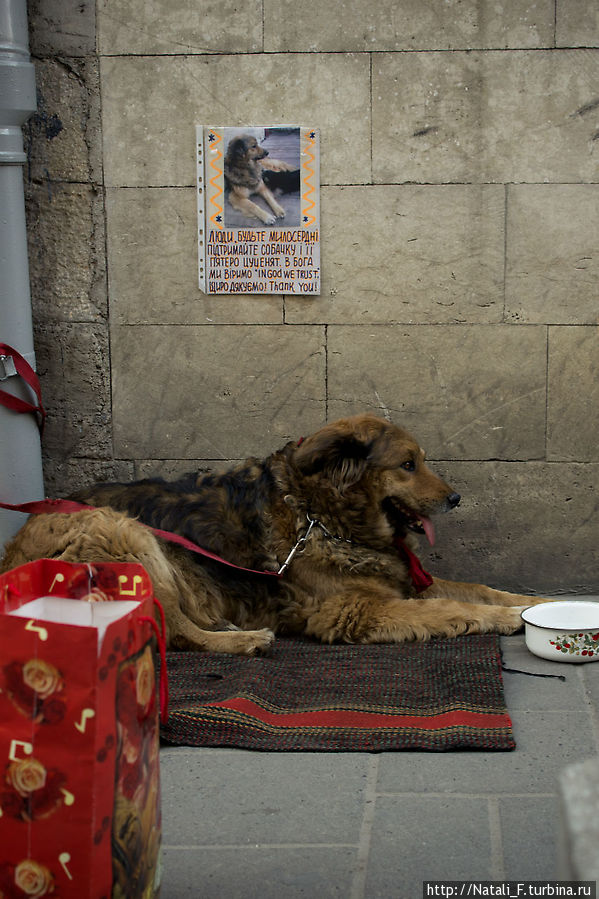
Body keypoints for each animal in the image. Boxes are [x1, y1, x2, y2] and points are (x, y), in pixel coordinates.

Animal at [0, 414, 552, 652]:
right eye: (408, 464)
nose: (456, 498)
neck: (323, 516)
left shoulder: (400, 582)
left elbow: (478, 587)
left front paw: (532, 602)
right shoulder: (354, 609)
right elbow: (452, 607)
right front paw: (507, 619)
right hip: (127, 534)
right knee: (174, 631)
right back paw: (246, 641)